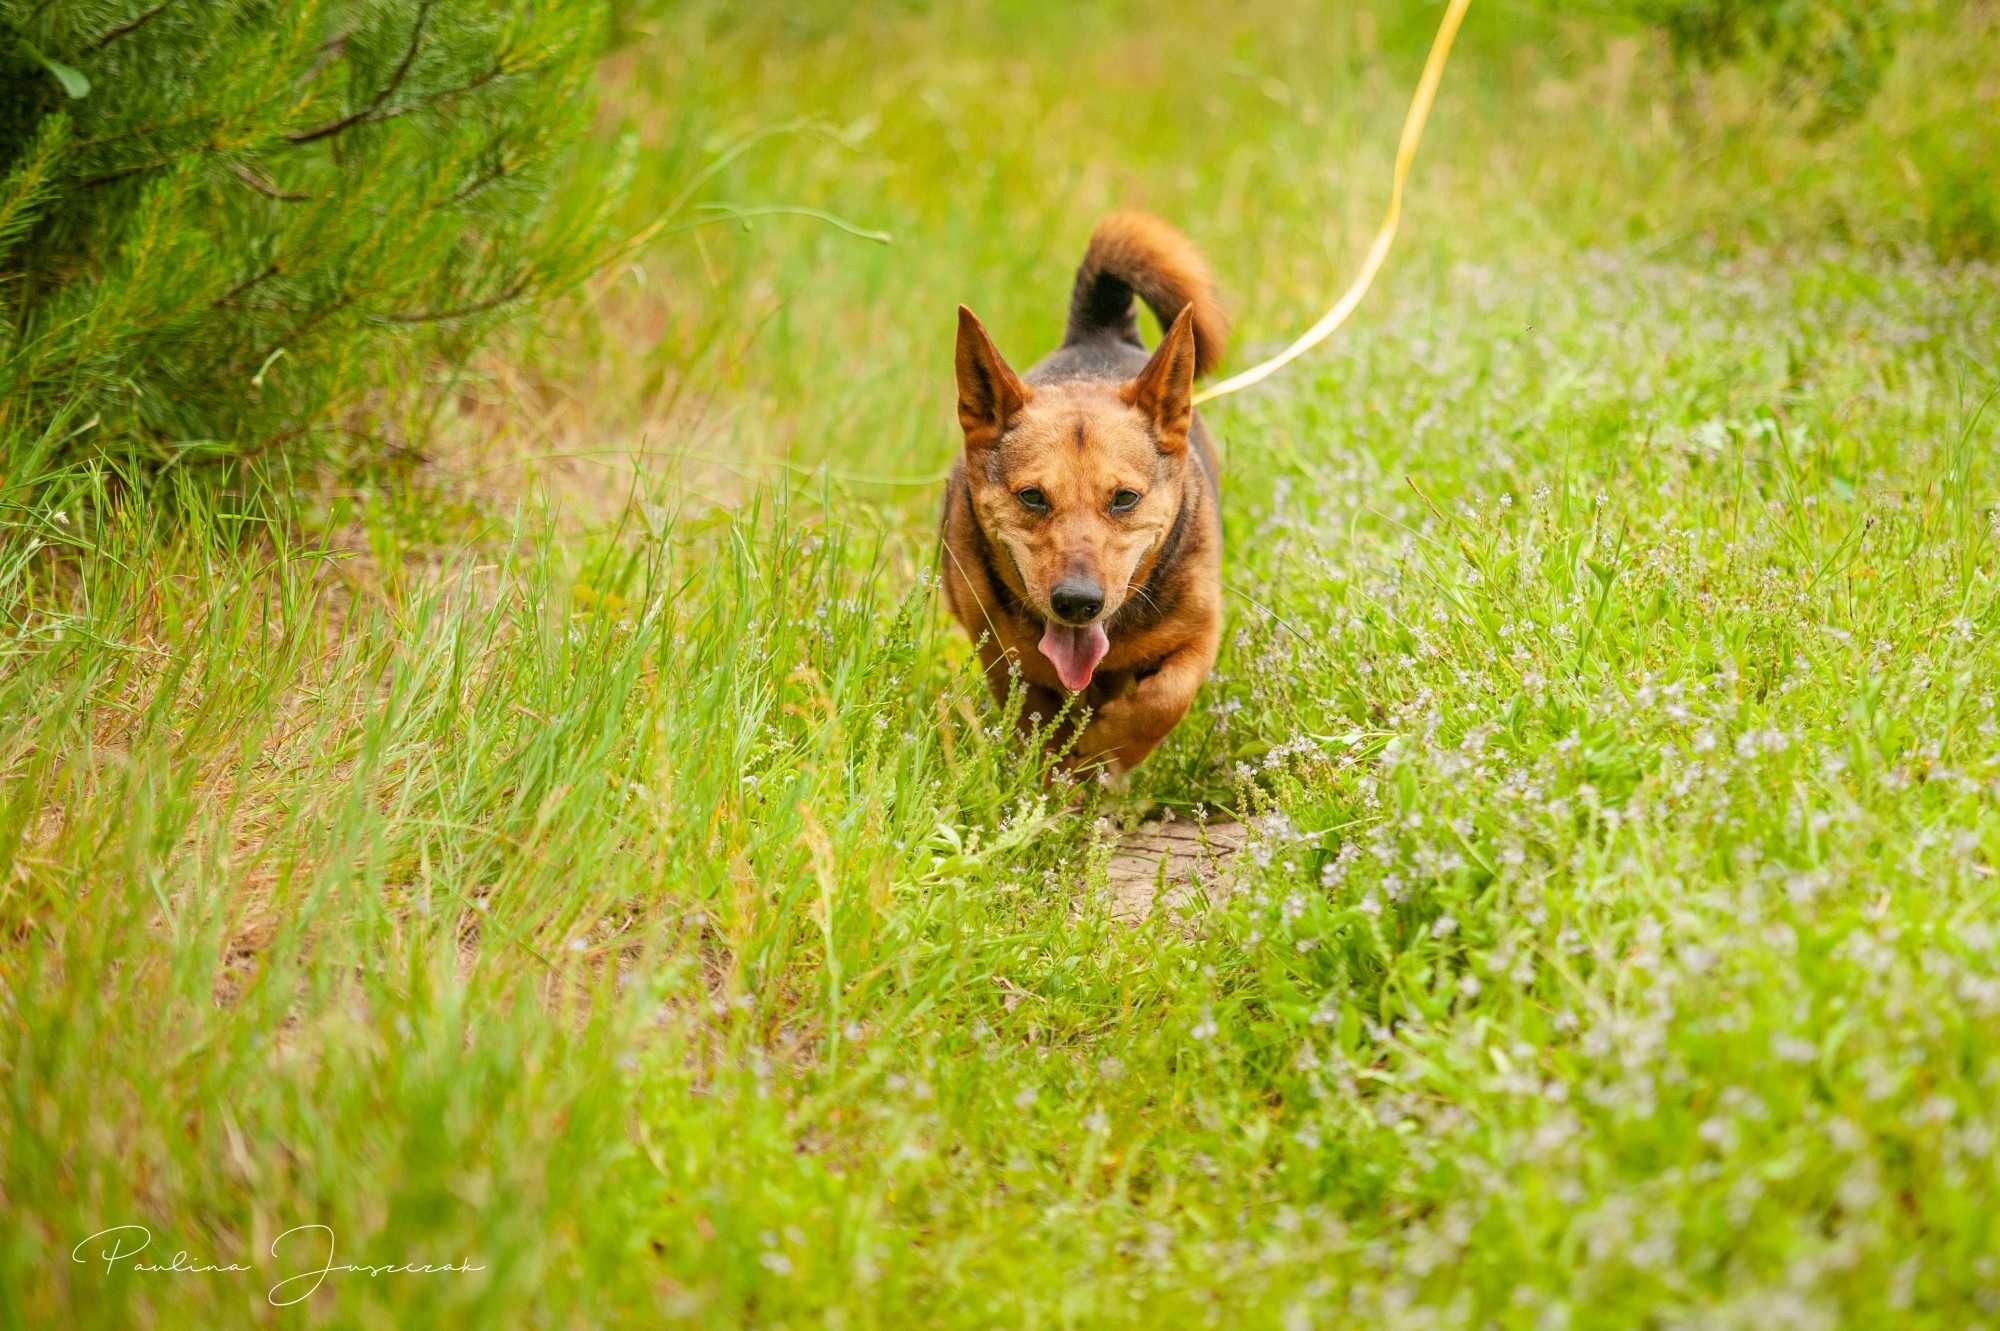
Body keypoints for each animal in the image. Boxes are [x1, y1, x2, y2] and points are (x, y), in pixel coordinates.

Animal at [944, 212, 1224, 771]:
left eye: (1124, 498)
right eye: (1032, 497)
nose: (1077, 603)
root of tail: (1098, 327)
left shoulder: (1201, 632)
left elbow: (1162, 700)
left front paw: (1104, 751)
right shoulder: (1005, 659)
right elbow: (1038, 725)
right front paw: (1060, 770)